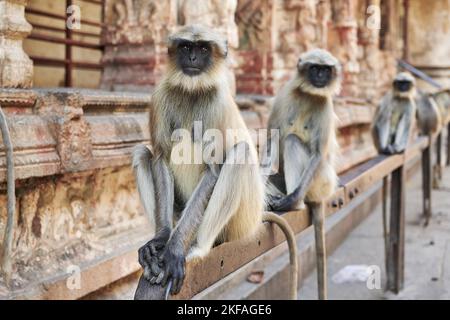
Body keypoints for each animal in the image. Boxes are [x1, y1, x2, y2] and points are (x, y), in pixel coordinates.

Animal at [132, 25, 298, 300]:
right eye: (186, 47)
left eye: (203, 48)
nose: (192, 58)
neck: (192, 90)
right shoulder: (160, 94)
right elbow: (160, 158)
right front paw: (162, 239)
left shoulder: (218, 102)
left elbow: (214, 169)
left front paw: (174, 249)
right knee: (141, 153)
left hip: (241, 221)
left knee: (240, 153)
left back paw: (197, 248)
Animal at [264, 48, 342, 300]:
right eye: (314, 68)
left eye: (325, 69)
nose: (320, 76)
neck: (309, 94)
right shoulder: (283, 95)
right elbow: (270, 141)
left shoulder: (326, 105)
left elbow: (317, 153)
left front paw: (292, 200)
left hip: (322, 181)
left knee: (292, 141)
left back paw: (294, 203)